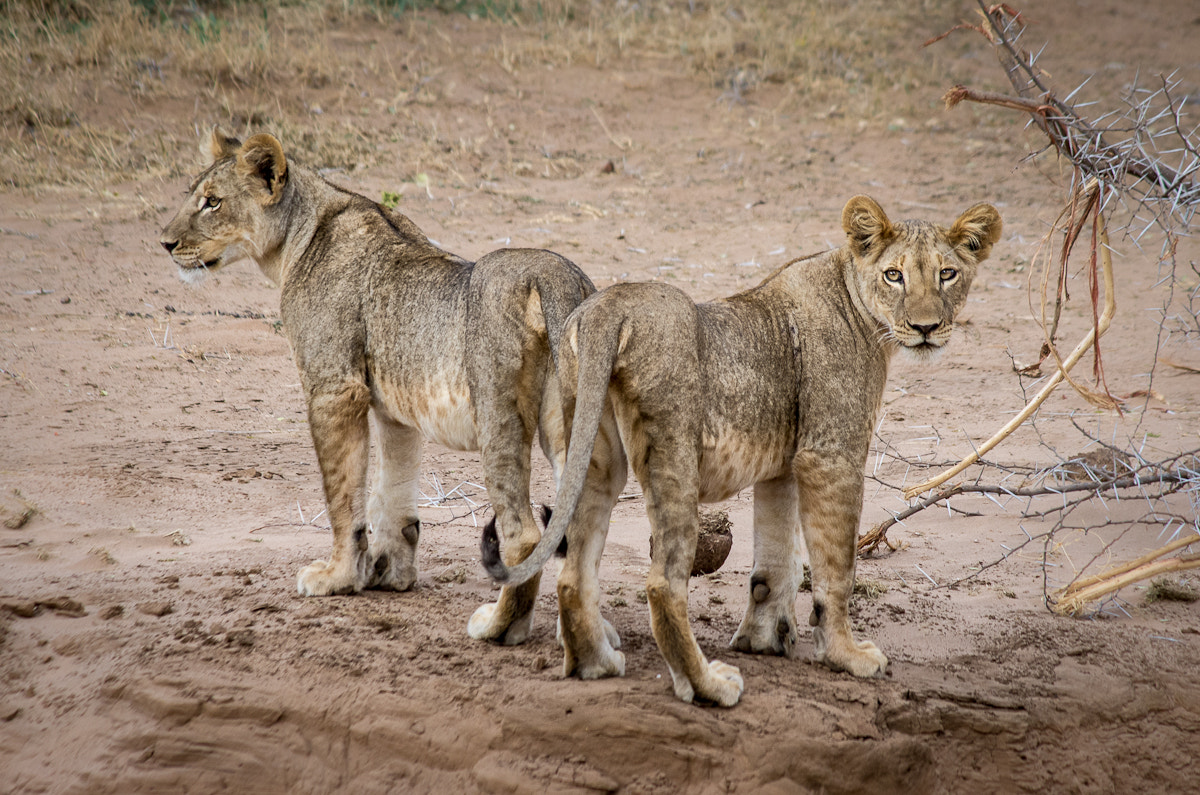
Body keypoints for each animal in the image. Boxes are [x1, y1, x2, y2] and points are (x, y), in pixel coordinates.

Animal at [159, 126, 624, 648]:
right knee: (580, 523)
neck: (298, 236)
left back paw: (500, 627)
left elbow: (343, 495)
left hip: (497, 415)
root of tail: (553, 273)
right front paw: (390, 573)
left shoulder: (334, 389)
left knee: (522, 533)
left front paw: (338, 577)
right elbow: (393, 492)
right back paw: (587, 632)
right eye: (194, 197)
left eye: (212, 202)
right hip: (573, 424)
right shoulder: (394, 409)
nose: (166, 243)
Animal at [482, 195, 998, 706]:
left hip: (594, 453)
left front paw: (762, 640)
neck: (860, 306)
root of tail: (609, 309)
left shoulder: (784, 468)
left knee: (575, 574)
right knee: (663, 584)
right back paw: (707, 686)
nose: (926, 327)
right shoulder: (831, 456)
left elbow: (776, 561)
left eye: (947, 274)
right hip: (674, 458)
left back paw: (596, 665)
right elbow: (836, 570)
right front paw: (845, 656)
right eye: (894, 275)